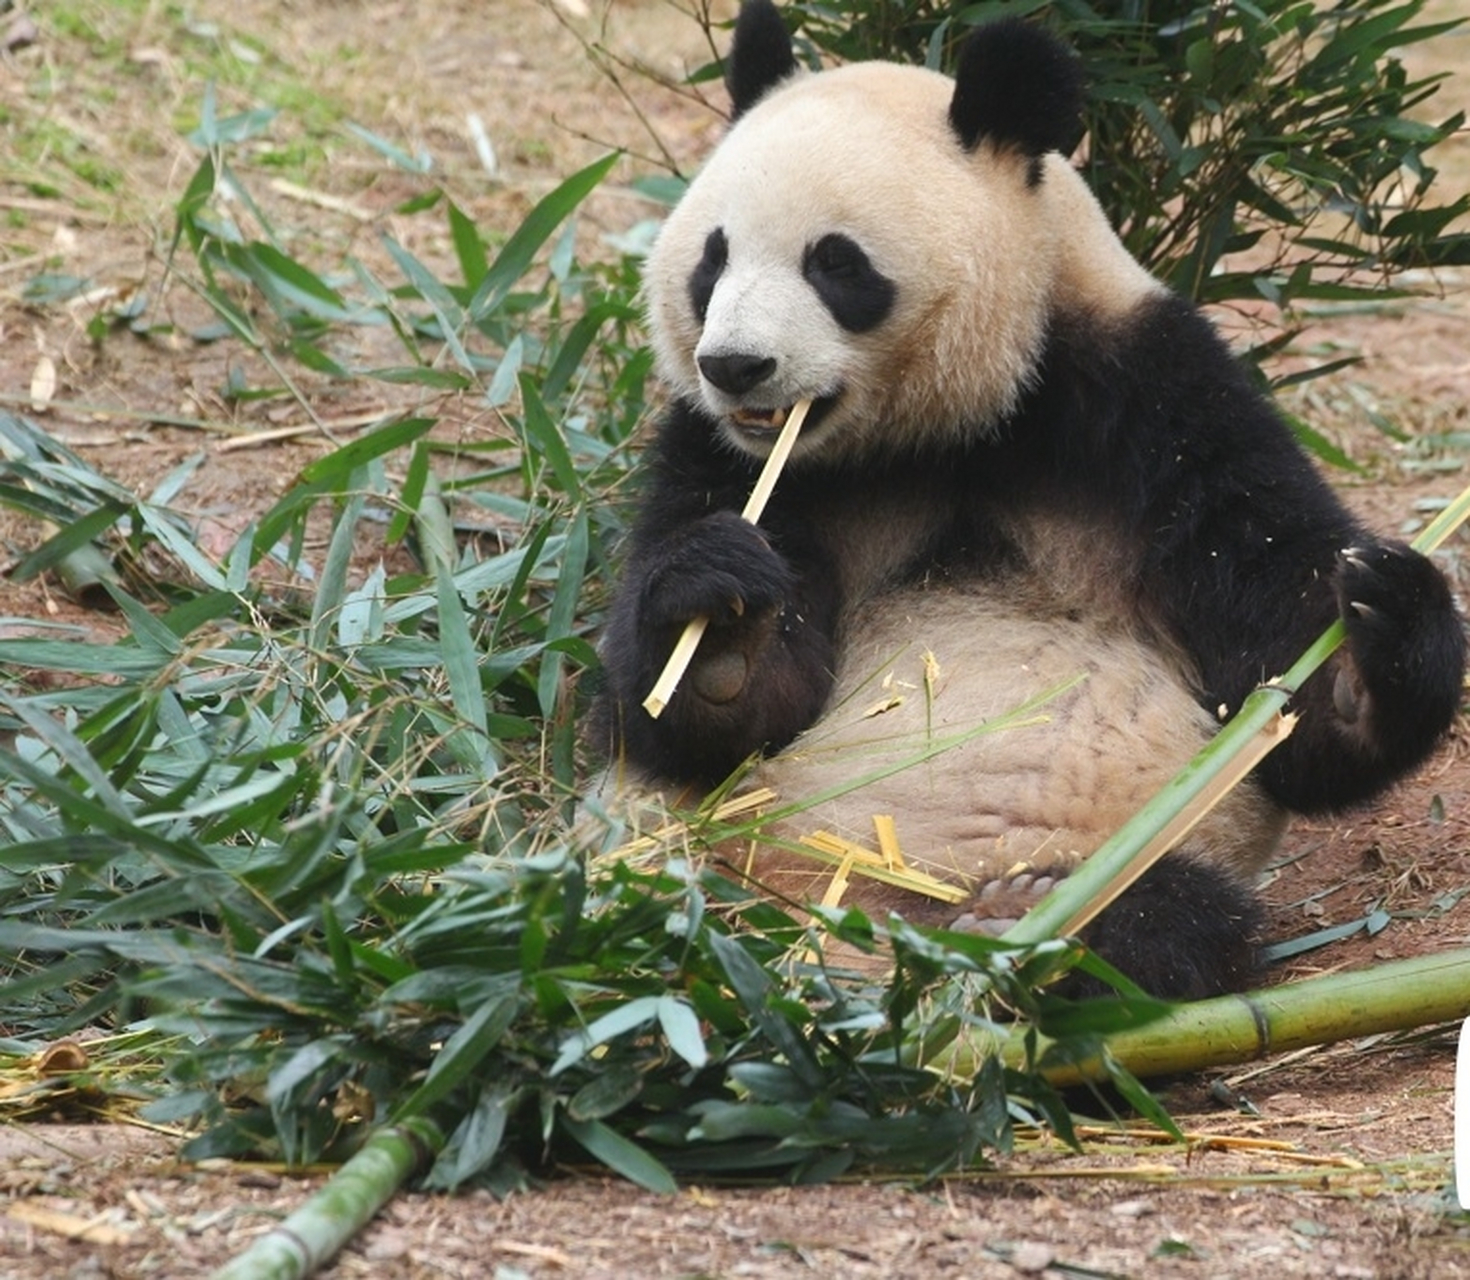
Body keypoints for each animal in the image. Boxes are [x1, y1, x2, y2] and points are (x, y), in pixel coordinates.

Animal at [590, 0, 1464, 999]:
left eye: (835, 264)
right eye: (713, 259)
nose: (735, 366)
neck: (953, 424)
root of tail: (844, 937)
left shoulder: (1156, 405)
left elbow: (1285, 692)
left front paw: (1379, 622)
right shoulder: (721, 457)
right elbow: (688, 712)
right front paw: (723, 626)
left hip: (1136, 846)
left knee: (1173, 920)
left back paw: (1024, 920)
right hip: (671, 847)